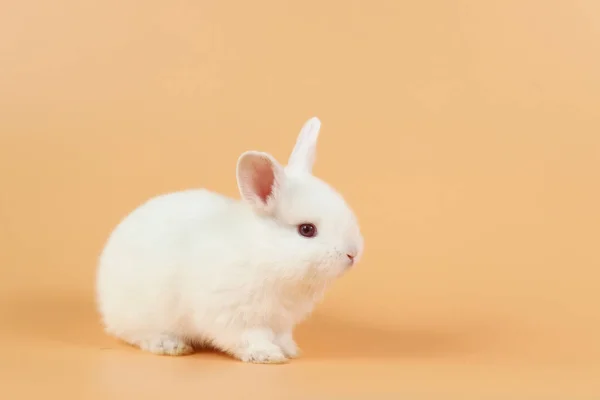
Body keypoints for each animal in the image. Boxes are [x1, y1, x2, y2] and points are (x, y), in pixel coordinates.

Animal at [96, 117, 364, 364]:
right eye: (307, 230)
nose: (352, 253)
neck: (265, 254)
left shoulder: (280, 322)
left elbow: (282, 337)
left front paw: (290, 351)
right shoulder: (235, 315)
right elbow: (250, 337)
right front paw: (267, 355)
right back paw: (171, 345)